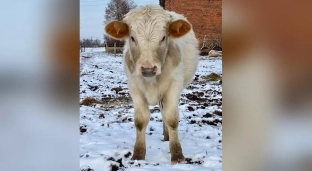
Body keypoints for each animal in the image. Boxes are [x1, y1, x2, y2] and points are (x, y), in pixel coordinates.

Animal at [103, 4, 199, 164]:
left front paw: (177, 154)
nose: (148, 69)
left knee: (165, 112)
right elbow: (141, 120)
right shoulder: (134, 87)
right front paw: (138, 154)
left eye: (163, 37)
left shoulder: (174, 85)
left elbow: (171, 118)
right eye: (132, 38)